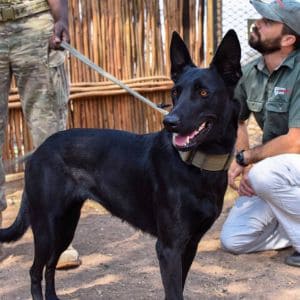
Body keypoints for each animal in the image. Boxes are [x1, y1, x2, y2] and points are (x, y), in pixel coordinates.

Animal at [0, 29, 241, 298]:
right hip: (46, 226)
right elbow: (173, 292)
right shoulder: (169, 247)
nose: (169, 122)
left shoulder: (190, 245)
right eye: (175, 92)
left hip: (66, 224)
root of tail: (38, 151)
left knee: (51, 266)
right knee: (35, 270)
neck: (198, 166)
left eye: (203, 93)